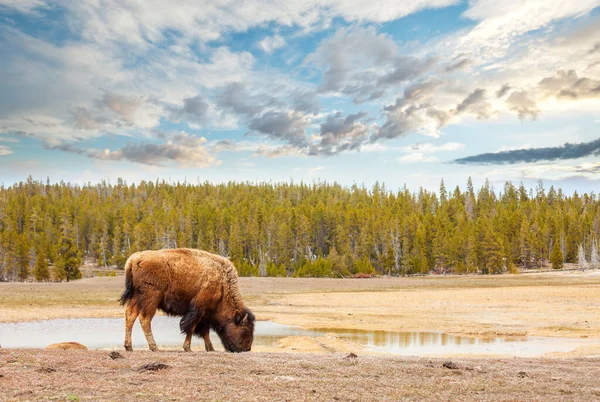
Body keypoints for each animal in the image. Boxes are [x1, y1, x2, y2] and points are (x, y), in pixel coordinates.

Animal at [119, 248, 255, 352]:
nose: (246, 349)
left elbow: (204, 331)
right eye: (244, 331)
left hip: (136, 297)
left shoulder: (205, 313)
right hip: (151, 298)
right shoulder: (198, 309)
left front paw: (210, 348)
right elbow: (191, 327)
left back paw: (129, 347)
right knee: (145, 319)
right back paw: (154, 347)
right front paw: (188, 348)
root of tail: (134, 259)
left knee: (130, 315)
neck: (222, 284)